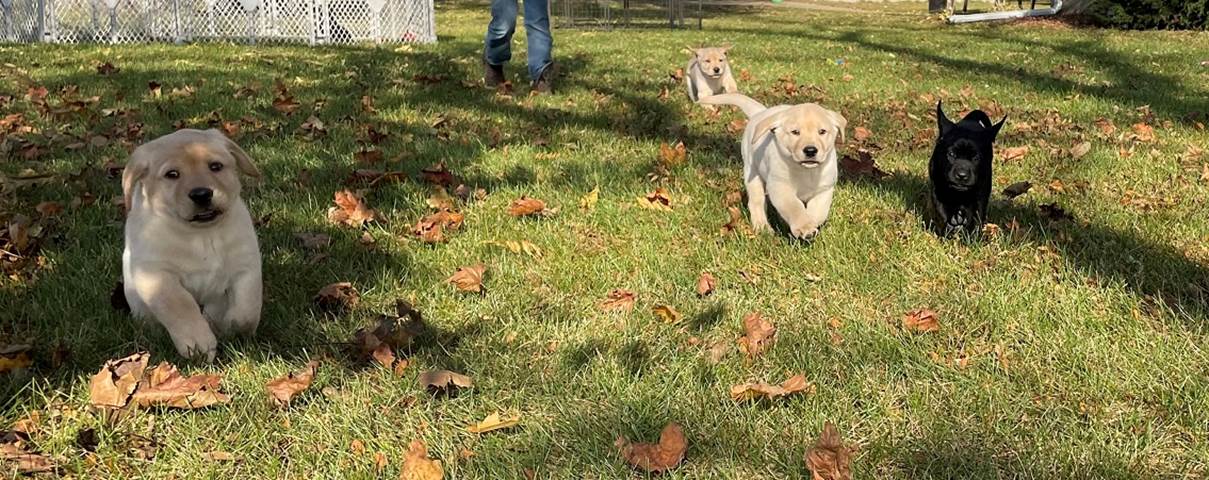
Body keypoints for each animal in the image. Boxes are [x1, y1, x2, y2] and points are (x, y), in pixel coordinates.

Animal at [121, 128, 263, 357]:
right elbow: (180, 304)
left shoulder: (246, 265)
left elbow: (248, 308)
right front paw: (198, 344)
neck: (201, 235)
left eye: (215, 166)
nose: (201, 194)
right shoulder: (155, 275)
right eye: (172, 174)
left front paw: (233, 328)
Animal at [701, 92, 851, 238]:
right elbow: (794, 207)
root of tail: (760, 112)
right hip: (752, 171)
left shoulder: (824, 189)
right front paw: (804, 227)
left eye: (822, 131)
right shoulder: (780, 188)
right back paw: (762, 226)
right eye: (795, 132)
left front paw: (810, 222)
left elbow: (819, 211)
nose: (810, 150)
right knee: (756, 202)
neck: (805, 170)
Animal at [928, 100, 1005, 235]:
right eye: (951, 154)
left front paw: (973, 235)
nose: (962, 175)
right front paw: (946, 229)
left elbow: (978, 213)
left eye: (975, 158)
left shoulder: (982, 190)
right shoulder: (936, 185)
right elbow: (940, 209)